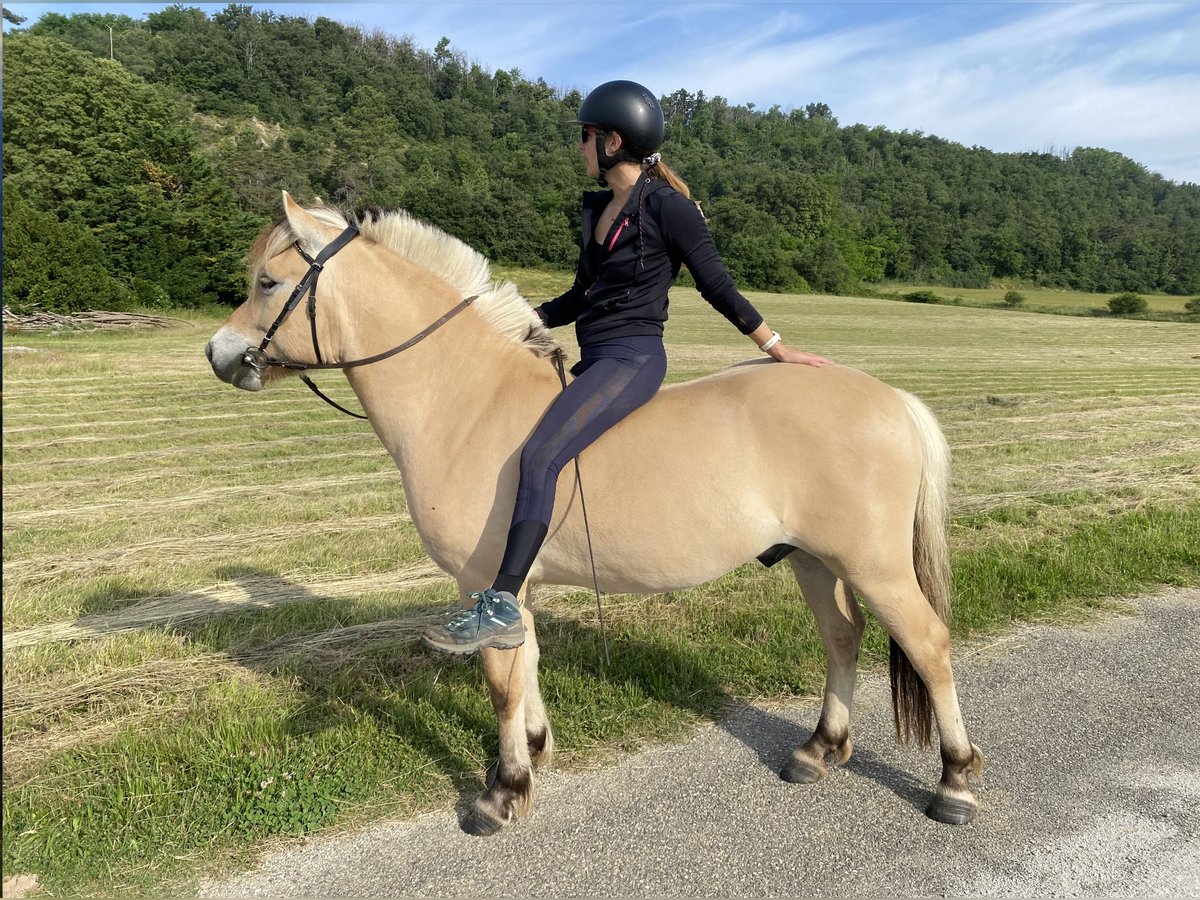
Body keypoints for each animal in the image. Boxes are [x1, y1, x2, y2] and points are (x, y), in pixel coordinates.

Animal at [206, 190, 984, 840]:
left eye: (267, 282)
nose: (217, 354)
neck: (465, 400)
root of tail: (891, 399)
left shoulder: (483, 582)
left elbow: (500, 684)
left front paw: (502, 791)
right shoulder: (512, 587)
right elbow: (526, 664)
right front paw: (534, 752)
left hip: (874, 565)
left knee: (928, 645)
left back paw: (954, 781)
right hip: (817, 561)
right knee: (842, 638)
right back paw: (820, 749)